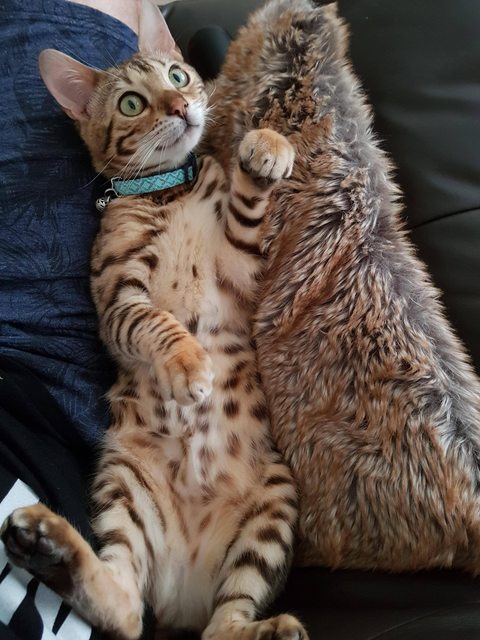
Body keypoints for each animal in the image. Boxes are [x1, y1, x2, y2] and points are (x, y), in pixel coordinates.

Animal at [0, 2, 307, 640]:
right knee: (126, 608)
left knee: (223, 622)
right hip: (123, 485)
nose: (182, 106)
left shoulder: (241, 269)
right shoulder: (117, 299)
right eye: (131, 103)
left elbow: (246, 210)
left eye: (177, 75)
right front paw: (189, 363)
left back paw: (268, 627)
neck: (168, 192)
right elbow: (155, 324)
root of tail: (181, 603)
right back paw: (48, 542)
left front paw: (265, 146)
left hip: (275, 504)